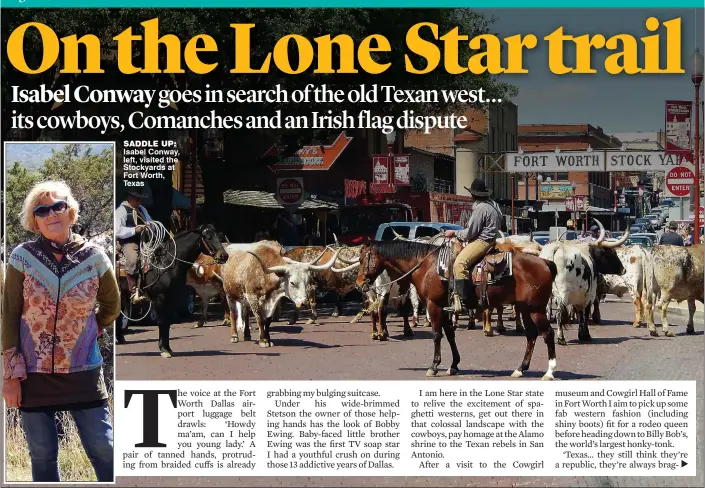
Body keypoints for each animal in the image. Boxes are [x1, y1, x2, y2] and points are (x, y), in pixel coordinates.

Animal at [117, 225, 228, 358]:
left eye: (218, 235)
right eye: (207, 236)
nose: (224, 256)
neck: (165, 265)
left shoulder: (172, 297)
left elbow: (168, 322)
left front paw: (168, 348)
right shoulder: (160, 298)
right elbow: (162, 322)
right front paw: (163, 349)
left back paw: (121, 339)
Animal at [358, 240, 560, 382]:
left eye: (362, 260)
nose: (359, 284)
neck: (428, 266)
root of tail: (544, 262)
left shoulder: (434, 306)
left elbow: (437, 335)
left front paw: (434, 366)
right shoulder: (444, 308)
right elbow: (449, 334)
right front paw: (454, 365)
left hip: (536, 310)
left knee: (547, 334)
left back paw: (549, 372)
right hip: (525, 309)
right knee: (531, 335)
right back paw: (520, 369)